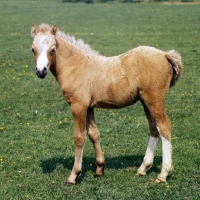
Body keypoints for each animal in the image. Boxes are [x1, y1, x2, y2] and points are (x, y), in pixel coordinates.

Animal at [30, 24, 183, 185]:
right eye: (33, 49)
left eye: (53, 49)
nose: (41, 71)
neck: (76, 67)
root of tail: (165, 55)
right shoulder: (89, 107)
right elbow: (94, 134)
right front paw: (99, 169)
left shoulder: (78, 106)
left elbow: (79, 138)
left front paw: (74, 175)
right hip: (145, 101)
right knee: (154, 128)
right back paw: (143, 168)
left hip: (154, 100)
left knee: (164, 127)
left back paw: (163, 174)